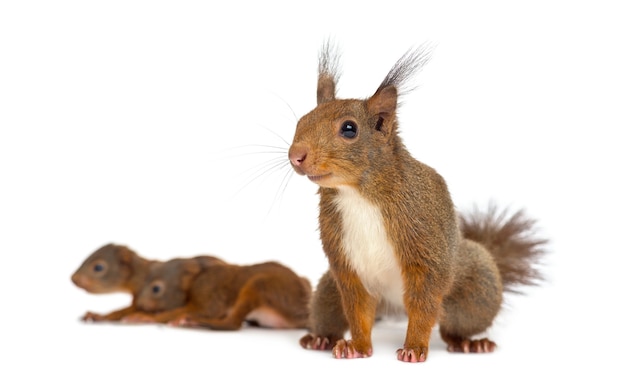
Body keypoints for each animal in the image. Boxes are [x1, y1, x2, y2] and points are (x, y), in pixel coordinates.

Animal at [125, 258, 314, 330]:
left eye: (156, 289)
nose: (140, 303)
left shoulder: (208, 291)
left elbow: (205, 310)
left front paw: (144, 317)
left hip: (263, 285)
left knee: (232, 324)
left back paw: (195, 321)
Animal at [288, 42, 544, 362]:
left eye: (349, 129)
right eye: (302, 120)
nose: (296, 155)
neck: (356, 195)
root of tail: (393, 307)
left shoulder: (424, 243)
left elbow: (424, 303)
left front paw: (414, 348)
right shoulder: (346, 262)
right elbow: (357, 309)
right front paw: (357, 346)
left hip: (476, 290)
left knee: (451, 323)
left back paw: (469, 342)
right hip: (327, 290)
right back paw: (320, 337)